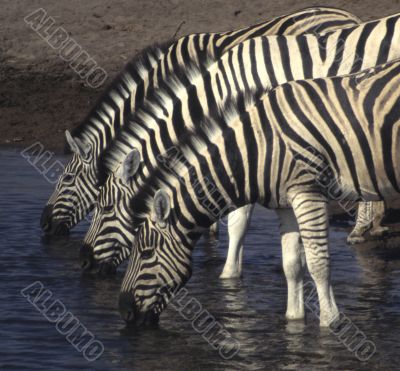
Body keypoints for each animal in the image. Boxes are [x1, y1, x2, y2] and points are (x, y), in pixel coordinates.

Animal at [83, 11, 400, 284]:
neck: (219, 91)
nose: (84, 262)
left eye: (106, 207)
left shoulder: (252, 142)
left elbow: (238, 218)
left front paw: (229, 275)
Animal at [118, 56, 400, 326]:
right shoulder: (286, 202)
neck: (259, 147)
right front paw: (294, 322)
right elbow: (292, 265)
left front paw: (330, 323)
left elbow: (318, 263)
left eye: (146, 253)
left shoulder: (308, 192)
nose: (125, 312)